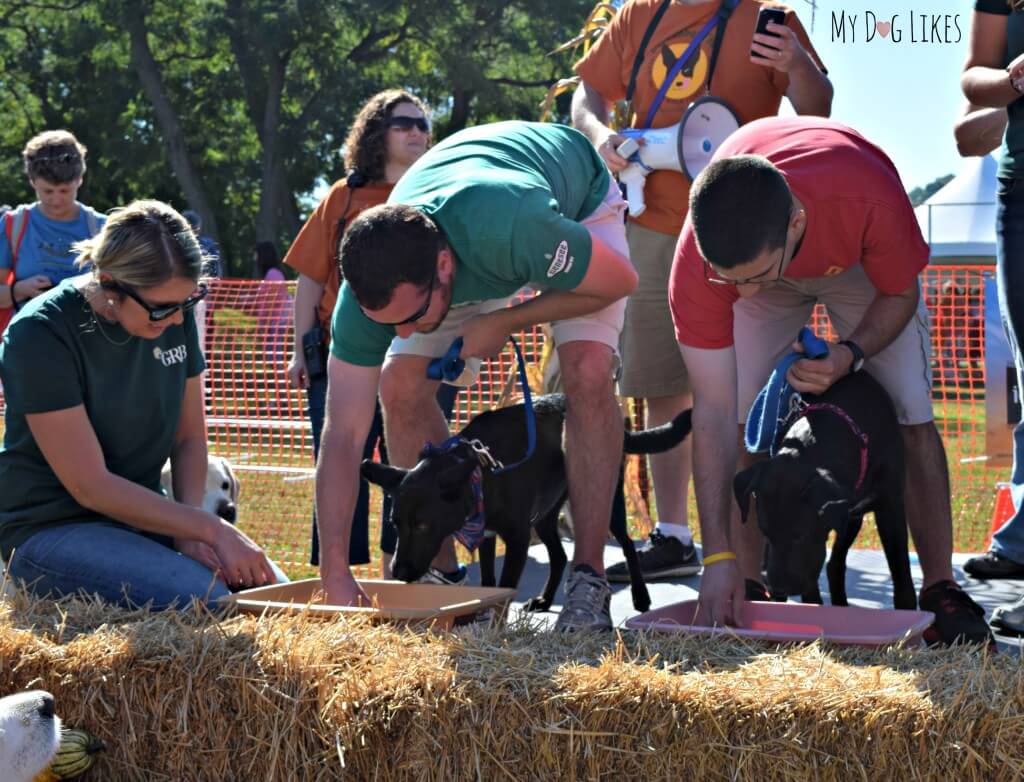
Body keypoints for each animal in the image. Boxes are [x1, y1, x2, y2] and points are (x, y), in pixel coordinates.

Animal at [358, 393, 688, 614]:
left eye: (423, 525)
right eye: (394, 524)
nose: (399, 573)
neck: (482, 473)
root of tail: (623, 427)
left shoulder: (516, 540)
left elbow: (505, 588)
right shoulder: (487, 536)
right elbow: (489, 583)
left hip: (609, 500)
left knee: (628, 543)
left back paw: (641, 597)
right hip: (545, 516)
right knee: (559, 556)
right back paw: (545, 599)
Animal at [733, 372, 917, 610]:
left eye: (800, 535)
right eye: (765, 532)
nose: (777, 588)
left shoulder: (890, 507)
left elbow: (901, 573)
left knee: (834, 564)